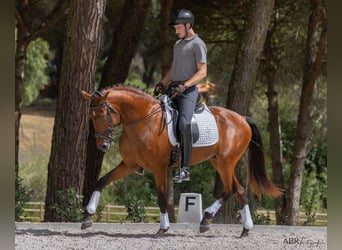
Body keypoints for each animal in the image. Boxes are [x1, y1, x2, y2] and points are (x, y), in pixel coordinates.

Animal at [81, 83, 284, 236]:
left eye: (102, 115)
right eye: (90, 116)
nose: (103, 146)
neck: (143, 120)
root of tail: (242, 119)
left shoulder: (159, 168)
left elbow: (162, 197)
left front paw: (163, 228)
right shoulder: (130, 165)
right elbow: (101, 181)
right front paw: (87, 217)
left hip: (226, 162)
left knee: (230, 190)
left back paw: (208, 219)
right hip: (219, 162)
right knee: (238, 190)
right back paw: (241, 228)